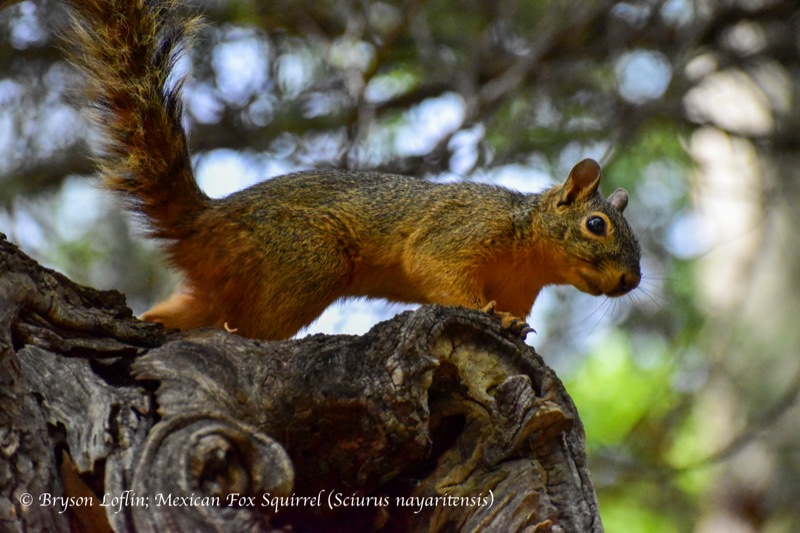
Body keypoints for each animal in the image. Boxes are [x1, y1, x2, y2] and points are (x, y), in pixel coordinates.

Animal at [65, 0, 641, 341]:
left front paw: (515, 326)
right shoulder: (463, 231)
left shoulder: (522, 287)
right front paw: (490, 315)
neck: (530, 244)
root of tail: (206, 220)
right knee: (245, 326)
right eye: (596, 225)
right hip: (303, 260)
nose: (629, 281)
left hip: (224, 283)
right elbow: (438, 269)